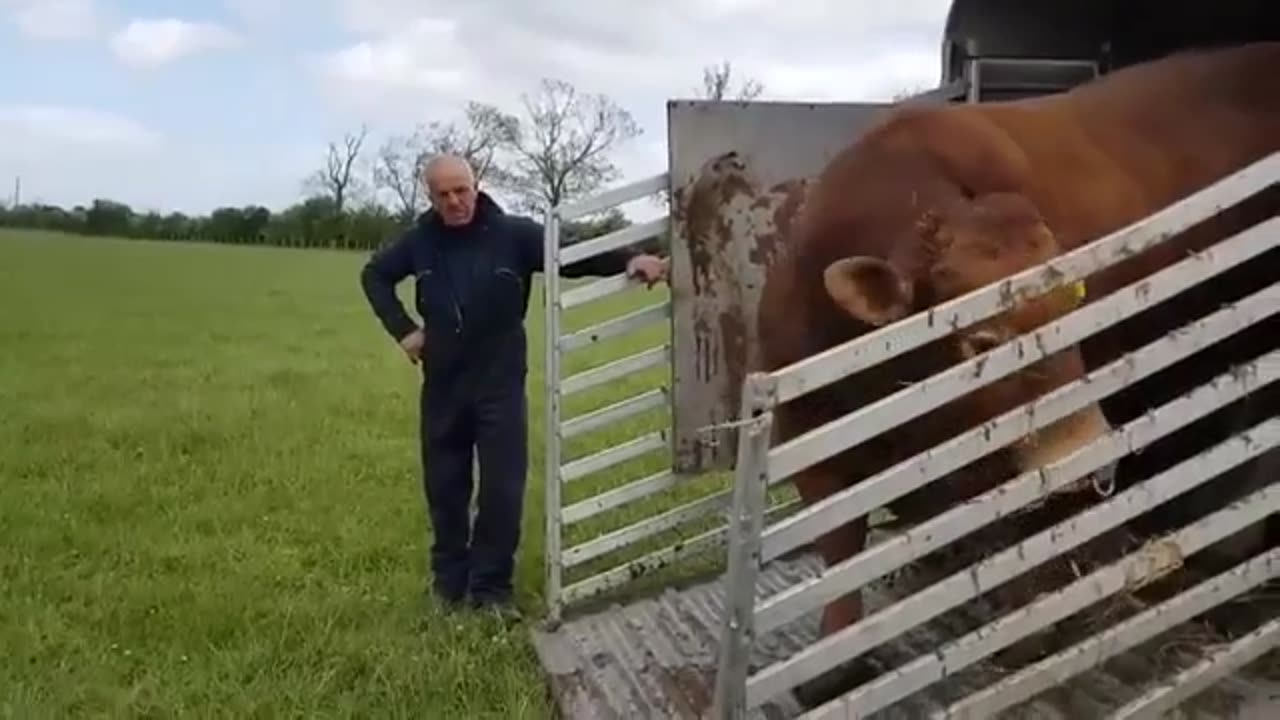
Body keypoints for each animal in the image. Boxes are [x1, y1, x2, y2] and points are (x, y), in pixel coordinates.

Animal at [755, 42, 1280, 706]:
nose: (1086, 456)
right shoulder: (806, 438)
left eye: (1079, 306)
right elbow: (840, 548)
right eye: (979, 341)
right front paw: (833, 664)